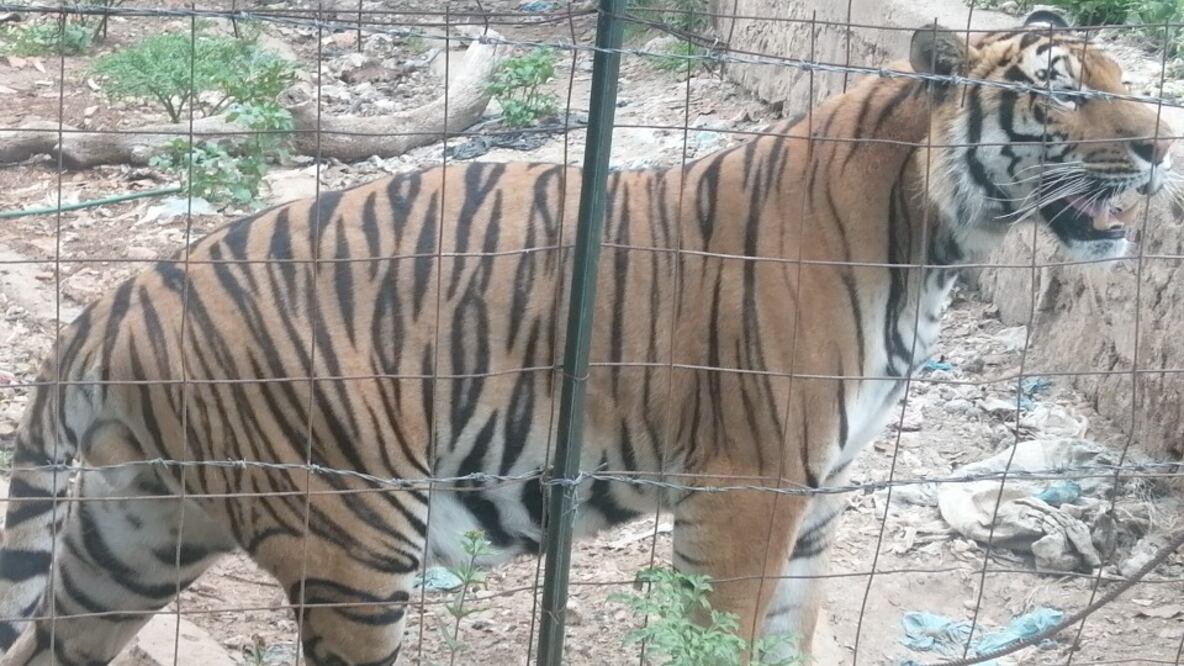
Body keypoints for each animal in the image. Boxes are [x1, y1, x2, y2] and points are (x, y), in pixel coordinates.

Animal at [0, 9, 1174, 665]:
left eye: (1124, 85)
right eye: (1063, 98)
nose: (1160, 148)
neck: (926, 235)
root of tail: (118, 298)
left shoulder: (819, 498)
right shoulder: (747, 490)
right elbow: (718, 641)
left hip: (133, 532)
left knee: (48, 642)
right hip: (350, 540)